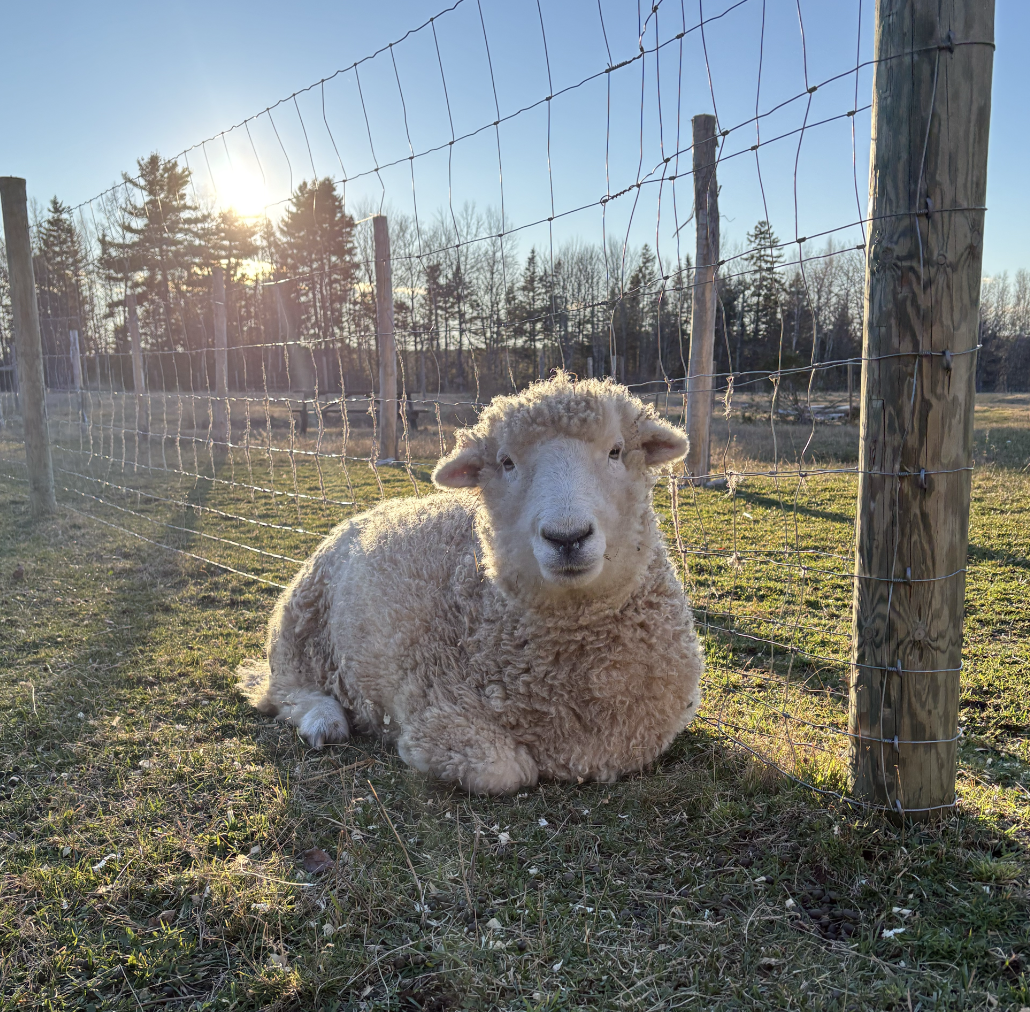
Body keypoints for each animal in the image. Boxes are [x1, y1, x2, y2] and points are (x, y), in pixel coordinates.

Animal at [238, 373, 704, 794]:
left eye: (616, 451)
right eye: (507, 462)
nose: (567, 537)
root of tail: (365, 513)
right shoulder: (438, 706)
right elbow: (505, 772)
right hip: (299, 627)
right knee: (279, 690)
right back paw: (325, 720)